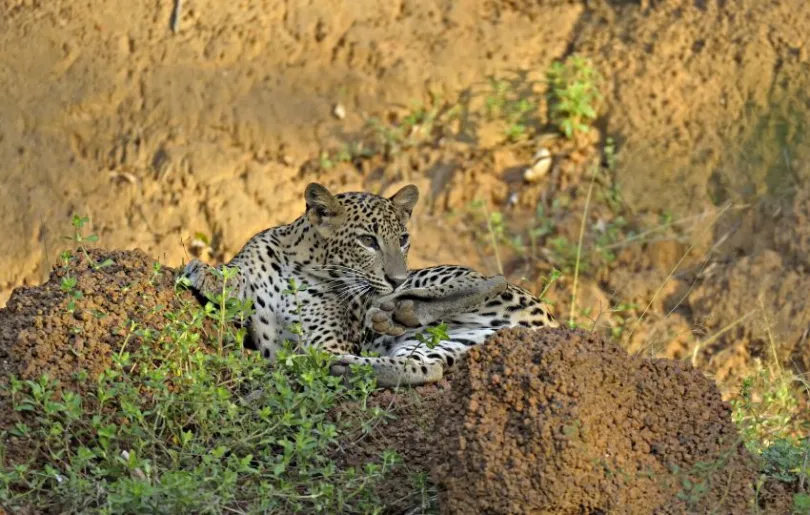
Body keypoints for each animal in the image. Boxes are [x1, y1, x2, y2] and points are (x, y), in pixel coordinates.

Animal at [180, 181, 560, 388]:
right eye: (367, 241)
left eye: (403, 239)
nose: (396, 278)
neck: (298, 266)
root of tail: (548, 322)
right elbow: (234, 279)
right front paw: (202, 272)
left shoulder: (329, 337)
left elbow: (320, 346)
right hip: (445, 343)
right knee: (425, 368)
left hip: (439, 278)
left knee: (490, 279)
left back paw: (395, 313)